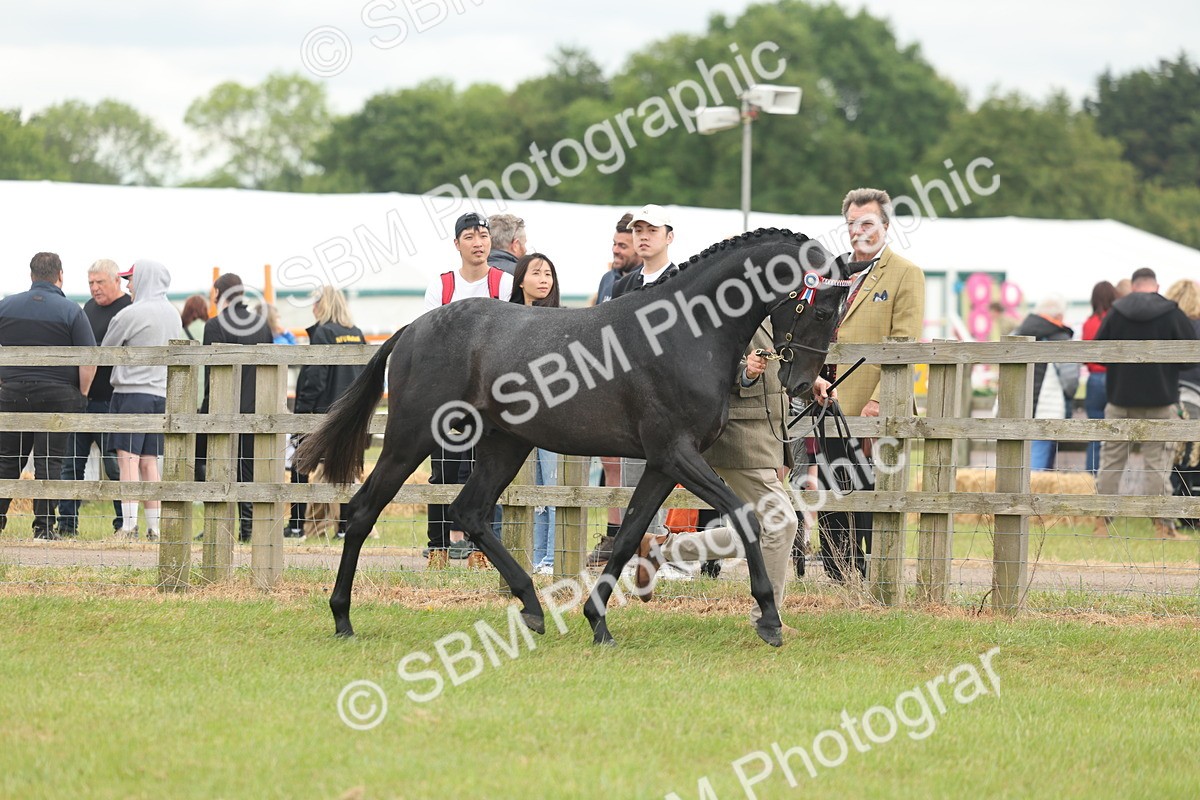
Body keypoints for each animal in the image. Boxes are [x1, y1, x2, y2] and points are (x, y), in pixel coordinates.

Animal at [294, 228, 866, 647]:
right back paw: (342, 618)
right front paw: (769, 618)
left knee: (469, 512)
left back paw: (530, 607)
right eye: (819, 309)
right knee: (364, 510)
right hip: (411, 437)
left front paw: (598, 621)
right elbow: (742, 517)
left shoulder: (661, 463)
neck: (683, 333)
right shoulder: (676, 454)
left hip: (505, 444)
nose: (803, 385)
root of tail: (414, 327)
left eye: (836, 314)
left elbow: (630, 533)